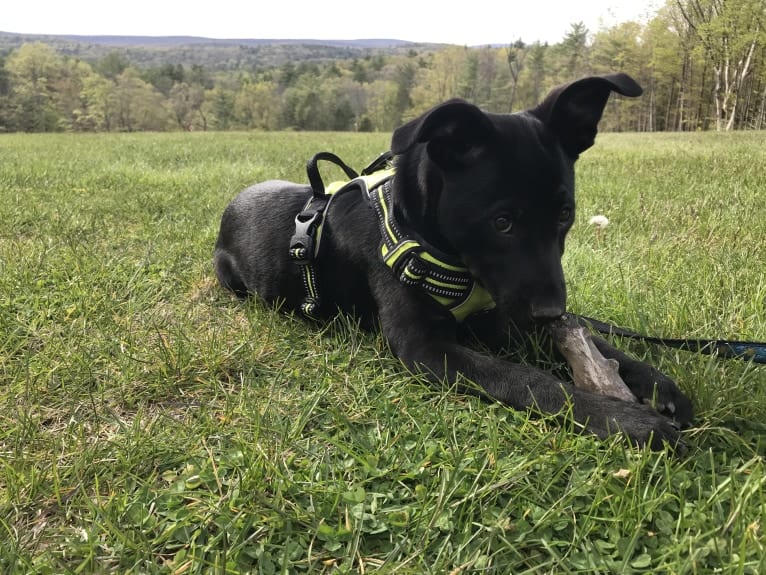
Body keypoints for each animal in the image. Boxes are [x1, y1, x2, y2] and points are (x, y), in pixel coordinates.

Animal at [214, 72, 696, 450]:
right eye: (501, 222)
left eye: (565, 214)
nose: (550, 313)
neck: (421, 231)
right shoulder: (426, 347)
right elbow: (528, 378)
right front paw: (624, 420)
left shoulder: (501, 312)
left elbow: (598, 342)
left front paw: (655, 381)